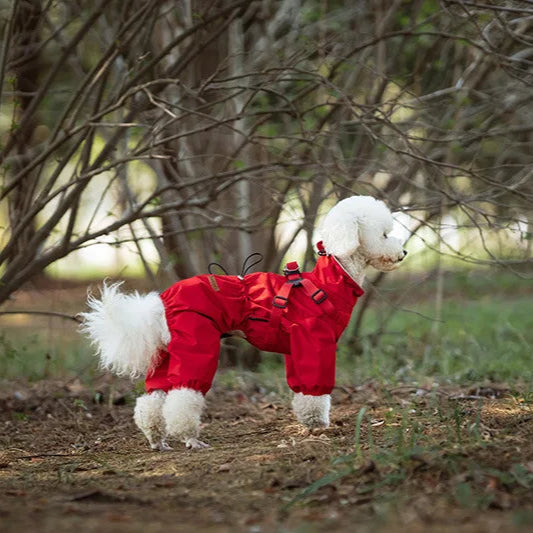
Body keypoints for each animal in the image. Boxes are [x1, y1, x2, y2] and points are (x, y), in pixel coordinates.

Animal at [79, 195, 406, 448]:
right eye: (385, 234)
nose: (403, 251)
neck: (330, 281)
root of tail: (161, 302)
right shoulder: (314, 343)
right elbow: (315, 391)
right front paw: (317, 424)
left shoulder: (296, 348)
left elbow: (300, 389)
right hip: (197, 342)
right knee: (182, 396)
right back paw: (190, 438)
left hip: (168, 352)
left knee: (152, 399)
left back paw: (156, 439)